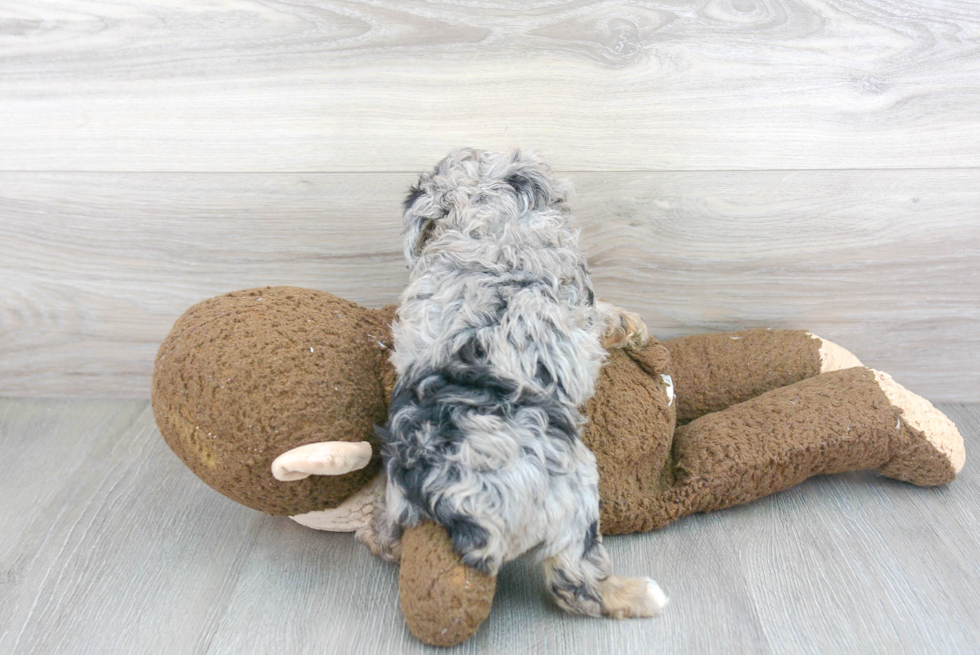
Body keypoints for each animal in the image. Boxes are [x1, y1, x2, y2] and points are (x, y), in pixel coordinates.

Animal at [366, 149, 668, 620]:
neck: (483, 221)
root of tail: (445, 494)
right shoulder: (579, 301)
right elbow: (603, 314)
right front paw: (632, 324)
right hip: (574, 485)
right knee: (572, 582)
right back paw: (637, 594)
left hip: (400, 503)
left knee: (387, 543)